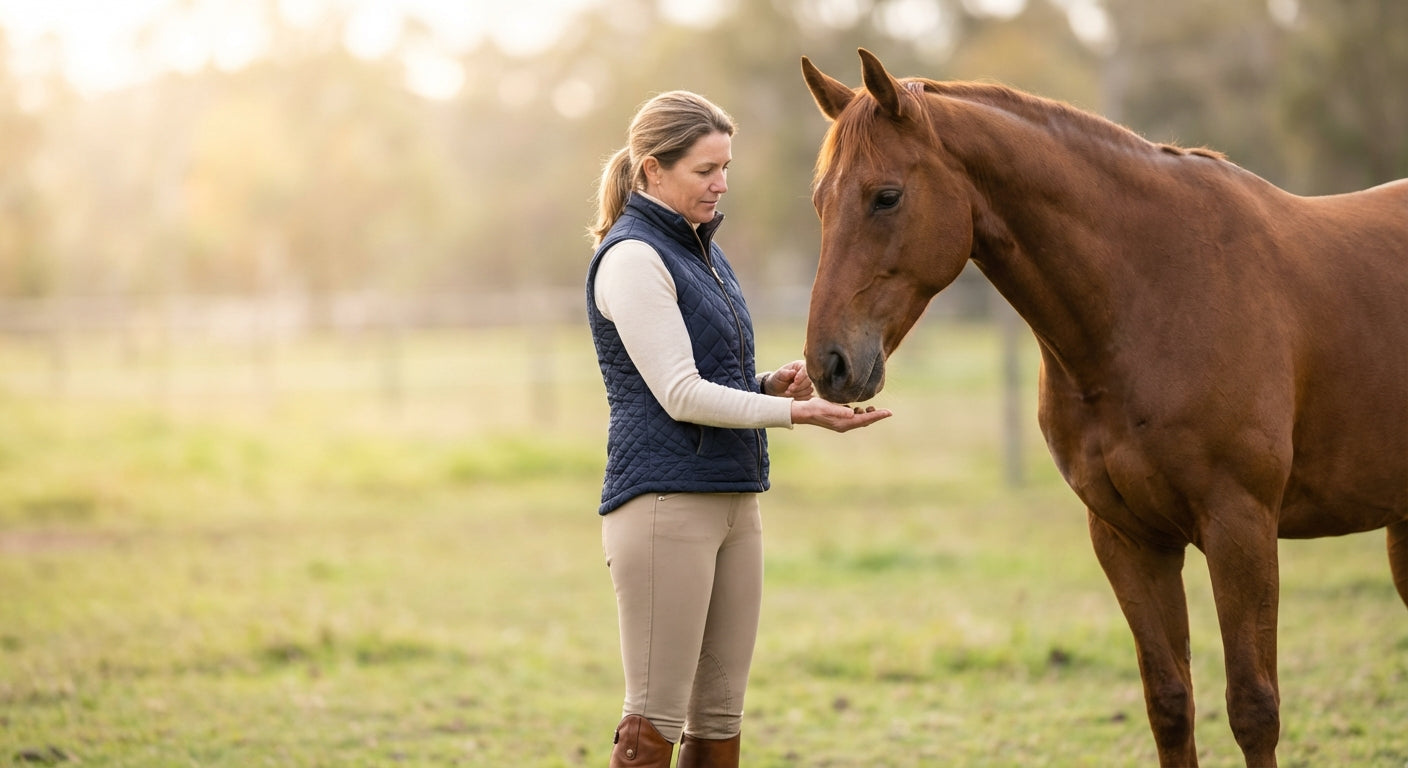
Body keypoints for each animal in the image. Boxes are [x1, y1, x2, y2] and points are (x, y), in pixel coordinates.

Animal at [799, 49, 1408, 767]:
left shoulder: (1242, 527)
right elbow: (1170, 704)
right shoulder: (1128, 539)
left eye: (886, 196)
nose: (828, 365)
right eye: (820, 202)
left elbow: (1254, 709)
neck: (1154, 293)